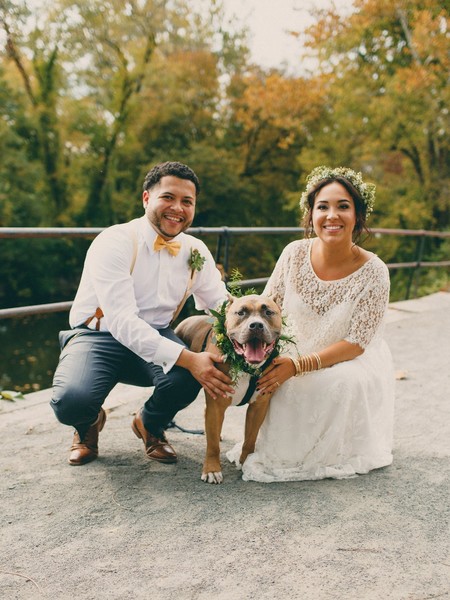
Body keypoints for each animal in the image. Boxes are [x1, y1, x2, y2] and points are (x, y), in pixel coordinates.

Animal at [175, 294, 282, 482]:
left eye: (268, 312)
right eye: (241, 313)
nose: (256, 325)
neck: (245, 366)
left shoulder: (258, 406)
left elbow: (250, 439)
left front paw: (246, 463)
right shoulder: (216, 406)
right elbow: (212, 446)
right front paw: (211, 469)